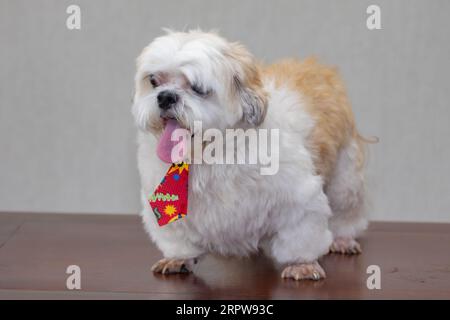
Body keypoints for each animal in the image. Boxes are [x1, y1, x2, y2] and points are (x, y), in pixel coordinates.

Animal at [131, 30, 370, 280]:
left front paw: (302, 264)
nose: (165, 97)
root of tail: (319, 68)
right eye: (154, 81)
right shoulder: (165, 204)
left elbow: (301, 235)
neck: (212, 152)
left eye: (197, 87)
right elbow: (178, 239)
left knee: (346, 213)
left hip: (345, 181)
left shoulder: (300, 200)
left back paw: (343, 239)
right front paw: (178, 258)